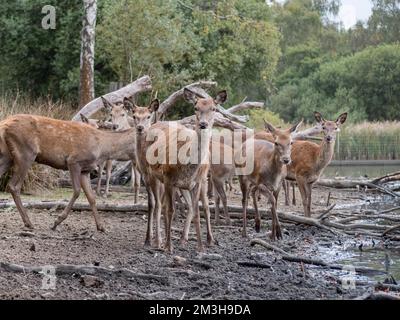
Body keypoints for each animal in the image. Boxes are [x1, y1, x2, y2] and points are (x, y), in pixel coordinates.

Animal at [143, 88, 228, 252]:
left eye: (214, 108)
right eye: (196, 107)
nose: (203, 124)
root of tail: (156, 123)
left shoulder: (196, 182)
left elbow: (196, 212)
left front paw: (200, 247)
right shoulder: (168, 178)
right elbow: (170, 210)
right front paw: (169, 246)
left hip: (189, 183)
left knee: (187, 206)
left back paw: (186, 239)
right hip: (150, 173)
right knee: (156, 205)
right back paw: (153, 241)